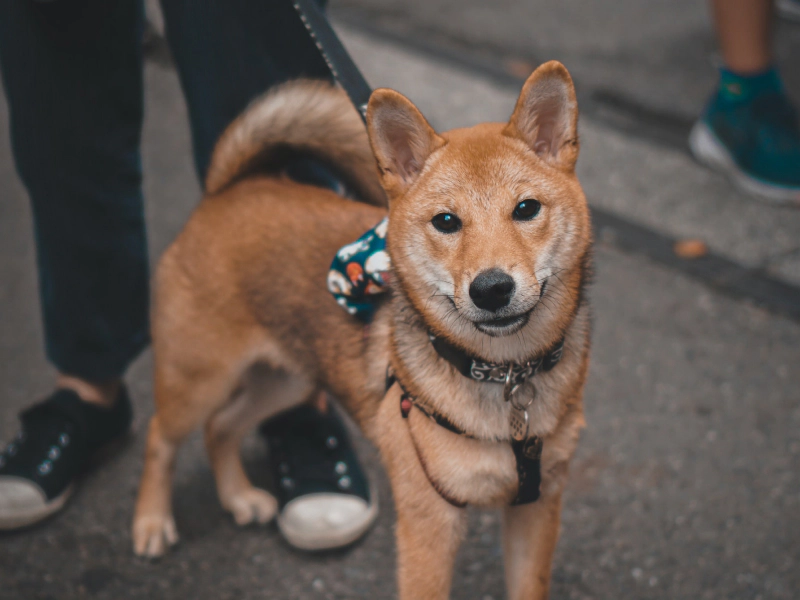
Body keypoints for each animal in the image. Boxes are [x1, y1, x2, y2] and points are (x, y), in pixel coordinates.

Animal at [134, 61, 592, 600]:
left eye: (526, 209)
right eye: (446, 221)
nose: (492, 288)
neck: (505, 375)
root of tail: (228, 189)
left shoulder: (536, 509)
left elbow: (528, 585)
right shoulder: (429, 524)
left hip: (287, 380)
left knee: (220, 427)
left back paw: (238, 496)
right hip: (198, 380)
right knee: (160, 436)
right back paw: (151, 521)